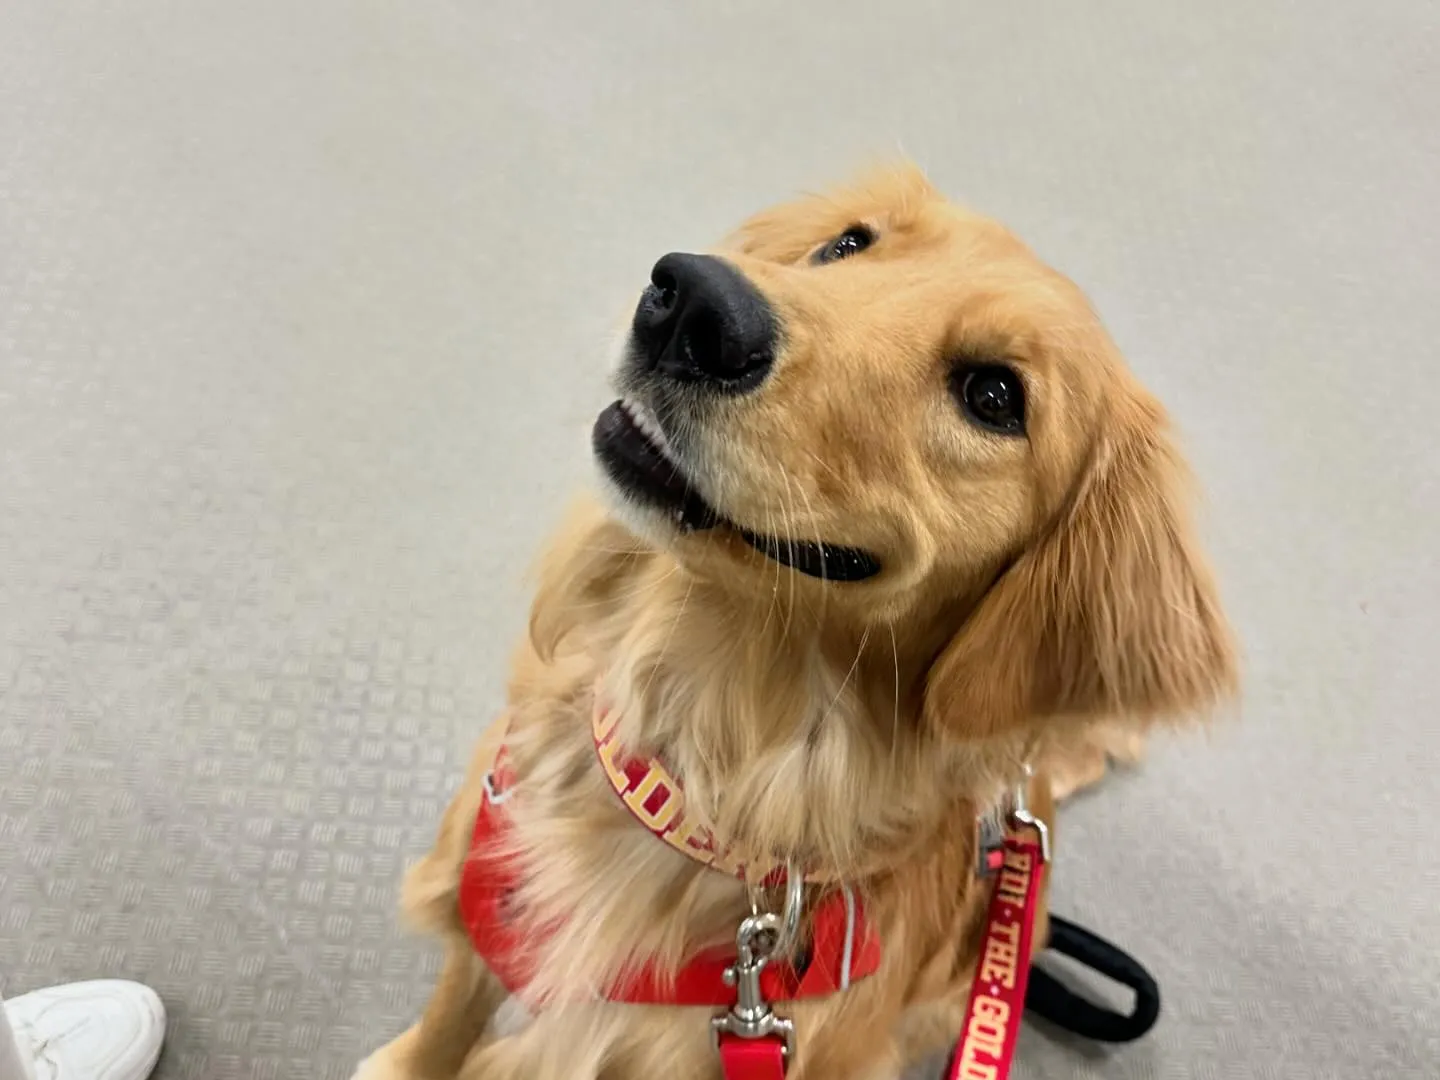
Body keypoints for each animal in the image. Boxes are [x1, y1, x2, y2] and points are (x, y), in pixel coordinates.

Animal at [351, 162, 1238, 1080]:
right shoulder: (483, 883)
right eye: (847, 243)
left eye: (993, 395)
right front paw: (413, 1058)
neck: (701, 771)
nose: (693, 303)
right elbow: (452, 1010)